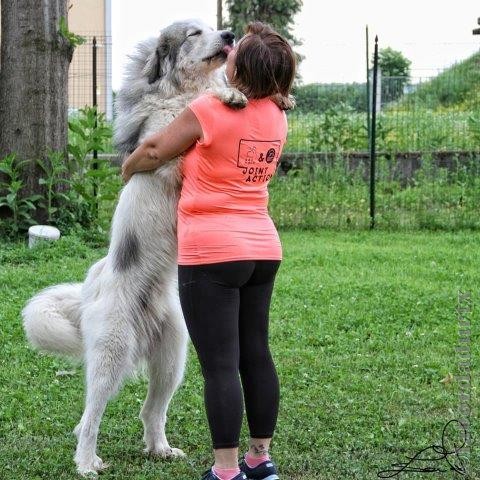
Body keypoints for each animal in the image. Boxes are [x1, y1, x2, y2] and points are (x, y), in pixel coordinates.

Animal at [22, 19, 246, 476]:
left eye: (213, 28)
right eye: (194, 33)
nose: (231, 35)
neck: (180, 89)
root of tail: (90, 290)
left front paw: (233, 92)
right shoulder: (166, 145)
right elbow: (197, 108)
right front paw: (224, 95)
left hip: (173, 357)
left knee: (149, 410)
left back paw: (159, 448)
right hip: (112, 354)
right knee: (89, 418)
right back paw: (86, 462)